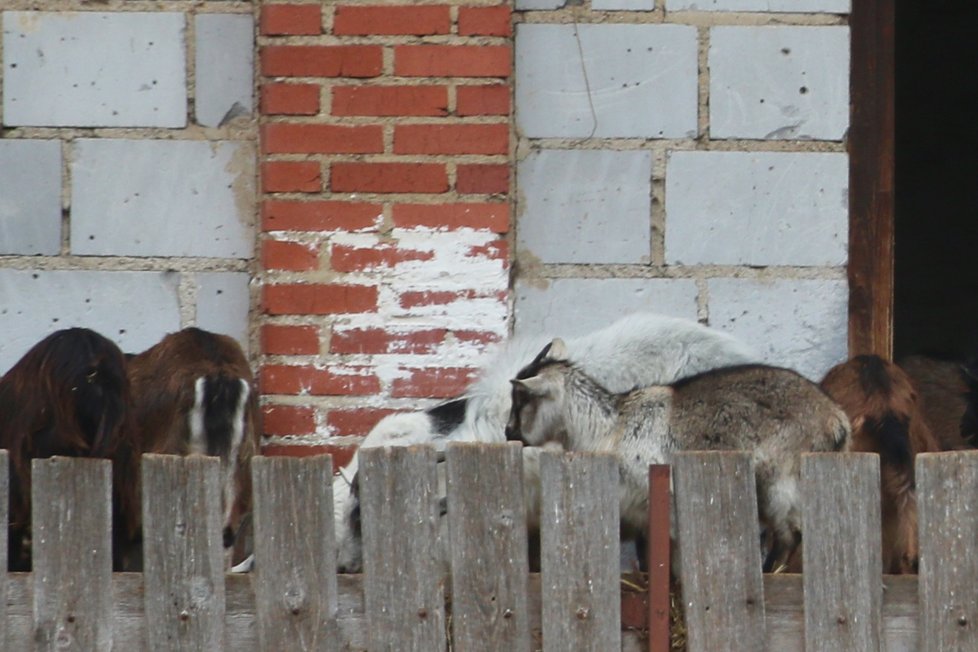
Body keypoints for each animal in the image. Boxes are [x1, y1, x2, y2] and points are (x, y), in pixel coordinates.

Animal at [508, 336, 852, 572]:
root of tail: (836, 419)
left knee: (790, 534)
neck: (610, 427)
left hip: (779, 482)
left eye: (520, 398)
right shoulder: (639, 513)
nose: (508, 431)